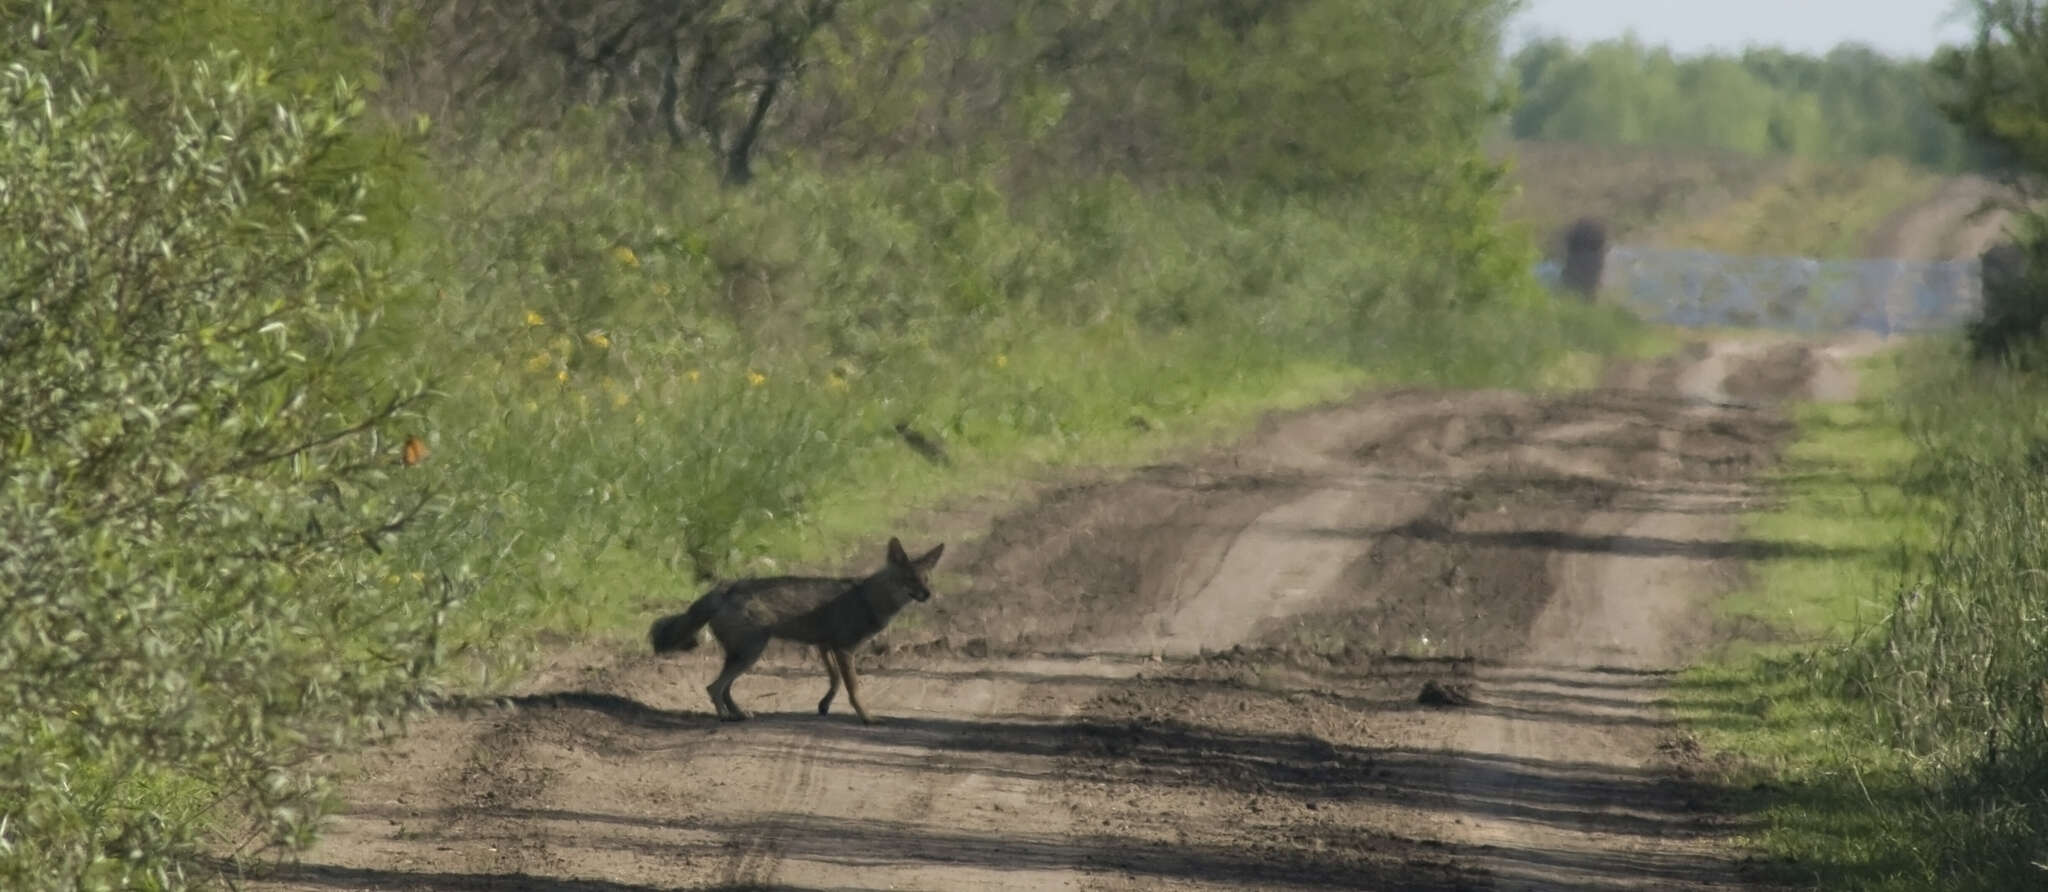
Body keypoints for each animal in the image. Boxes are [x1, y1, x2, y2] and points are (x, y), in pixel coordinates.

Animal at [643, 536, 946, 724]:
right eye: (909, 579)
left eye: (926, 578)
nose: (928, 594)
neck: (869, 599)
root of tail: (725, 588)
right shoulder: (843, 649)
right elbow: (853, 688)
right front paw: (867, 718)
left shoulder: (825, 645)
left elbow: (835, 679)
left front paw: (824, 705)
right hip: (751, 654)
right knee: (713, 687)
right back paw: (726, 717)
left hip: (744, 656)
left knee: (723, 688)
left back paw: (739, 714)